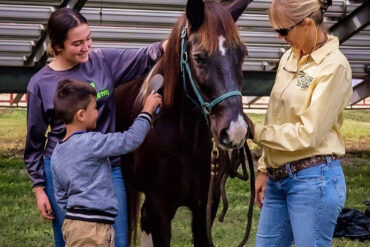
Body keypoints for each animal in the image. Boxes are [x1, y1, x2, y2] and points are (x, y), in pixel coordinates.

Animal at [115, 0, 254, 246]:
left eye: (243, 55)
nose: (236, 131)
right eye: (199, 57)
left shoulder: (206, 206)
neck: (185, 140)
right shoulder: (160, 207)